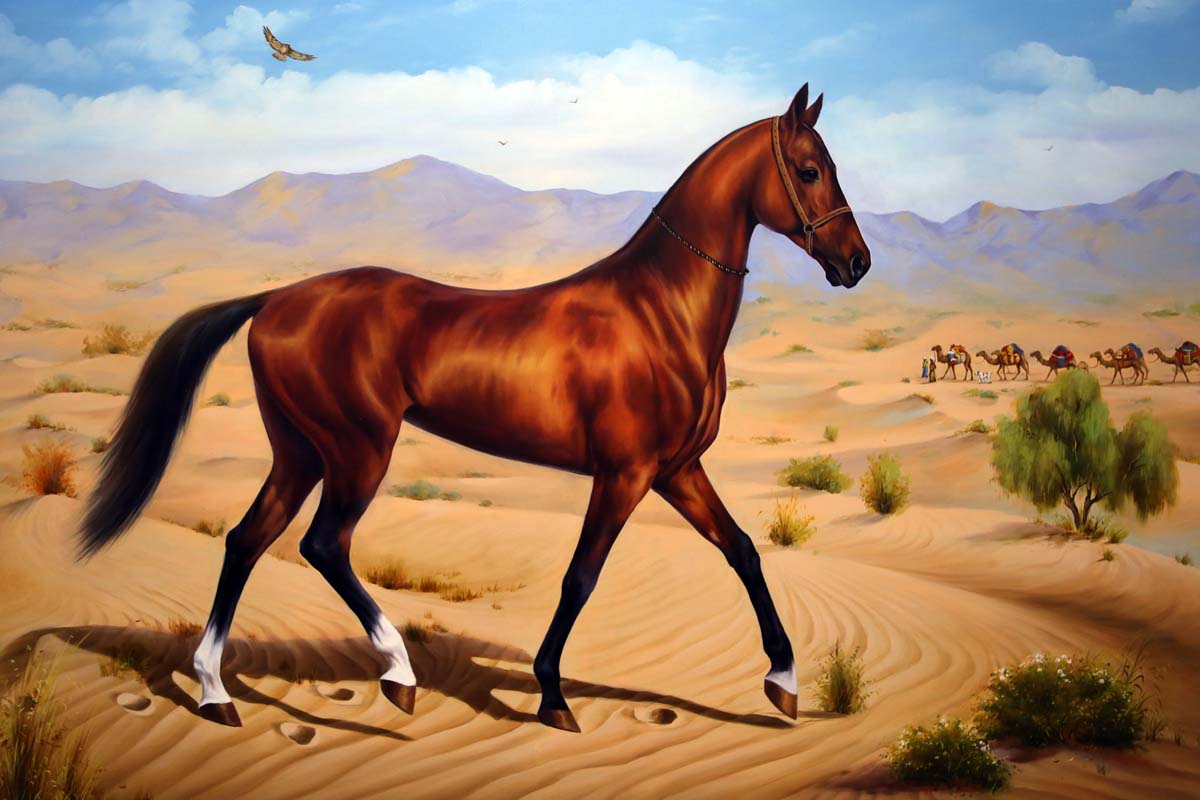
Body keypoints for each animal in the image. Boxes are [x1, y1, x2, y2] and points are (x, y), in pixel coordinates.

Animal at [77, 84, 871, 734]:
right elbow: (581, 577)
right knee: (322, 544)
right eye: (808, 170)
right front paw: (551, 696)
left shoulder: (677, 471)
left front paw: (783, 682)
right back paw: (397, 676)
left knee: (247, 540)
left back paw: (215, 694)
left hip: (299, 453)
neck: (657, 310)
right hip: (357, 451)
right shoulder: (624, 475)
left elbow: (742, 551)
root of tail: (275, 299)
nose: (856, 263)